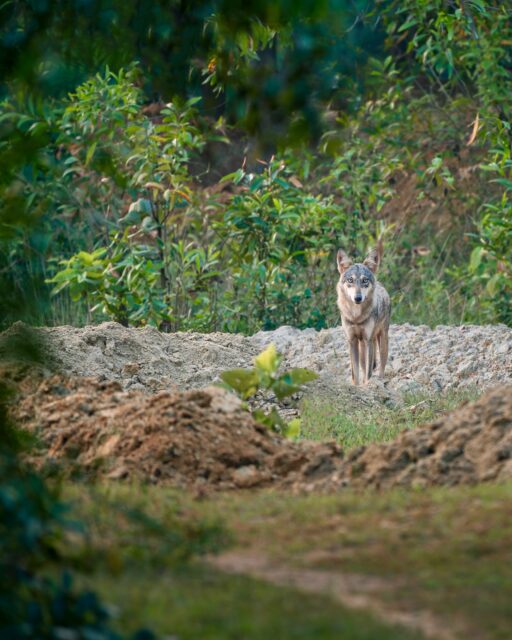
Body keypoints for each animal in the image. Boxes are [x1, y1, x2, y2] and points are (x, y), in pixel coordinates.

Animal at [336, 239, 391, 385]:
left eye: (365, 280)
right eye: (350, 280)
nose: (358, 298)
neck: (356, 316)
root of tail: (381, 284)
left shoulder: (368, 340)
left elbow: (368, 373)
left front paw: (368, 386)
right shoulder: (352, 341)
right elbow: (355, 373)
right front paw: (356, 387)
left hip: (381, 339)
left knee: (381, 366)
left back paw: (381, 384)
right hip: (362, 347)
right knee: (363, 365)